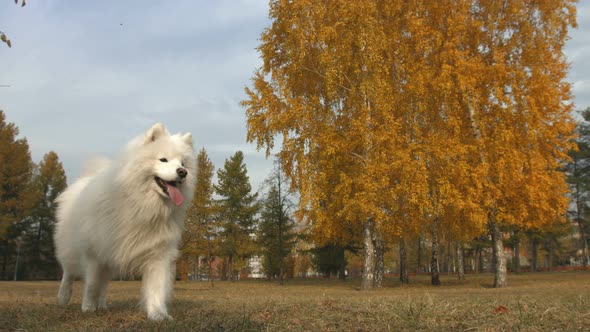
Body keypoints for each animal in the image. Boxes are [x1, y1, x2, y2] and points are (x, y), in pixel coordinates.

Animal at [53, 123, 197, 320]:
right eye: (163, 160)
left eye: (183, 163)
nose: (183, 172)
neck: (140, 205)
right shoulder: (94, 252)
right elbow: (91, 284)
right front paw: (87, 307)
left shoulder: (158, 252)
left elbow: (157, 287)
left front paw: (158, 314)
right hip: (72, 248)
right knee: (68, 273)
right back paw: (64, 297)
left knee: (104, 284)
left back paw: (102, 305)